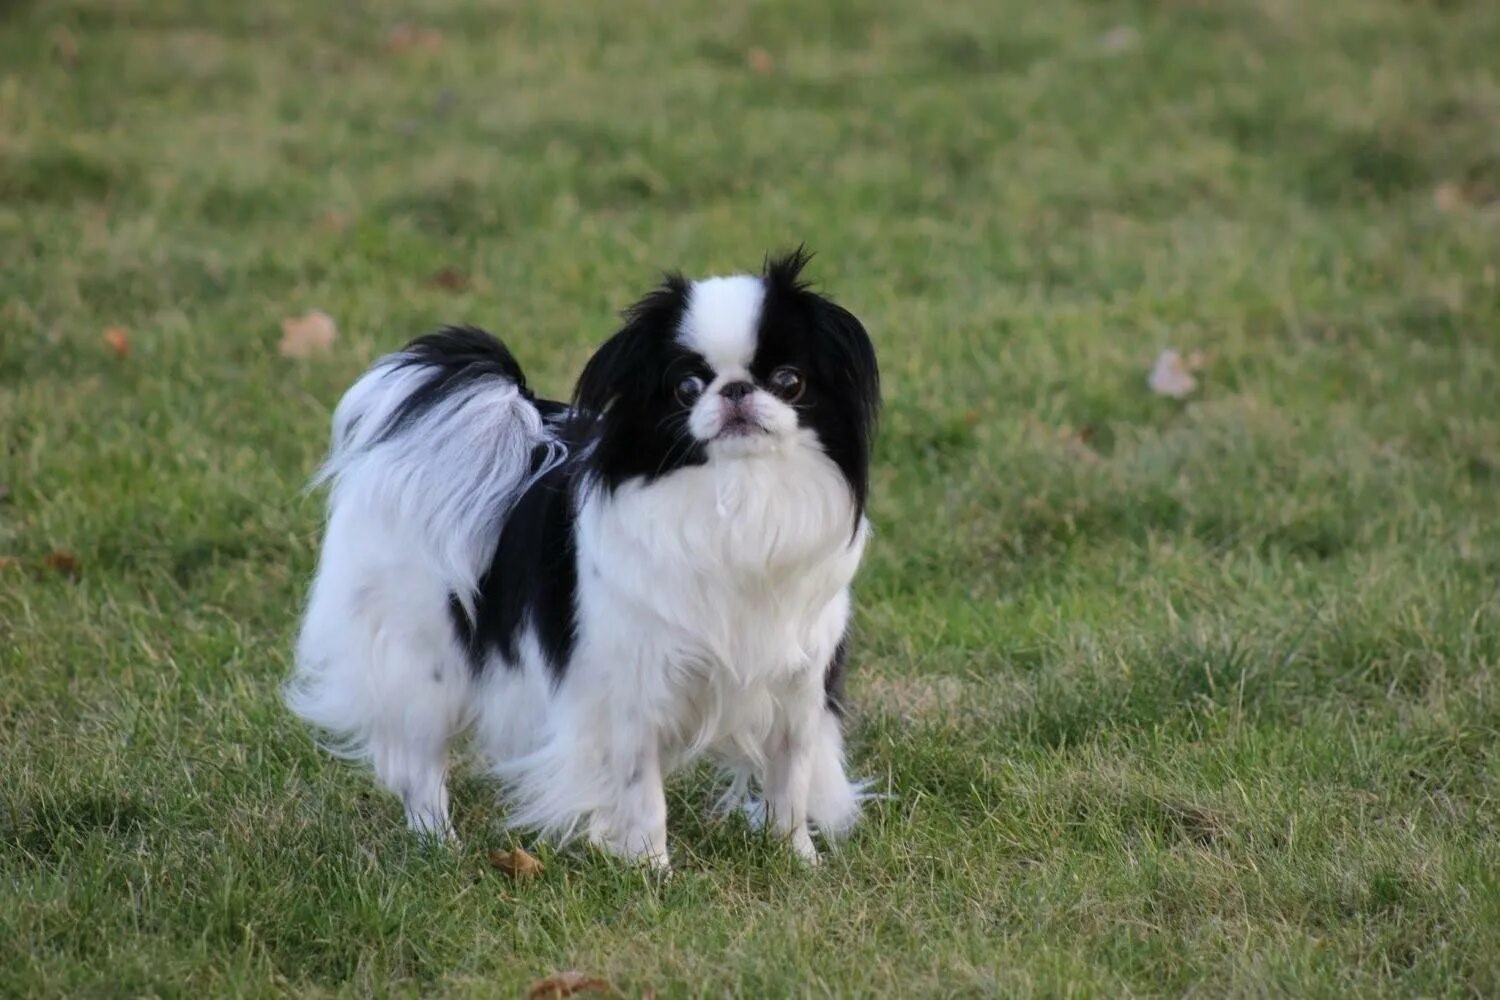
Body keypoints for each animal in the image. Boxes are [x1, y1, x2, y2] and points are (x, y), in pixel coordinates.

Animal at [283, 250, 876, 869]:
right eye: (686, 387)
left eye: (789, 381)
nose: (736, 390)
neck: (739, 497)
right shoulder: (632, 691)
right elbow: (643, 793)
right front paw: (653, 870)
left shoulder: (797, 685)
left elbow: (791, 778)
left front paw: (796, 858)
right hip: (424, 666)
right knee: (420, 765)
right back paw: (438, 845)